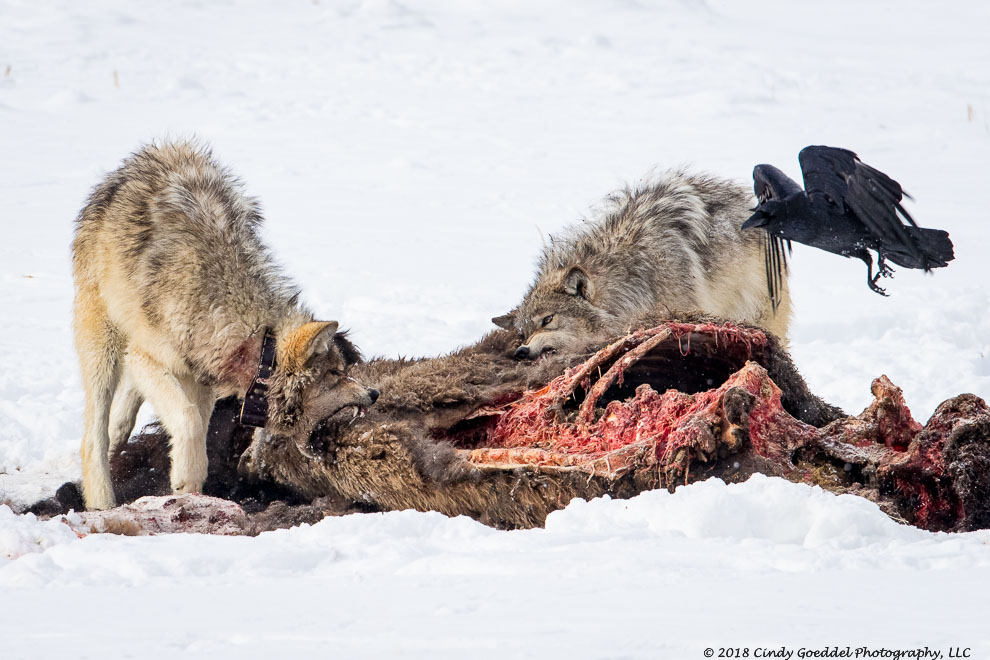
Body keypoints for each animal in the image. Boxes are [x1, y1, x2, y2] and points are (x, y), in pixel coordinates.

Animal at [72, 141, 379, 510]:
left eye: (344, 370)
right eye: (335, 374)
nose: (374, 393)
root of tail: (160, 150)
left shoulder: (200, 380)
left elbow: (198, 432)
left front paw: (189, 488)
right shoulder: (151, 359)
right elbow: (188, 420)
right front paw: (184, 483)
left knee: (123, 410)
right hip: (103, 343)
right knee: (93, 434)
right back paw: (101, 500)